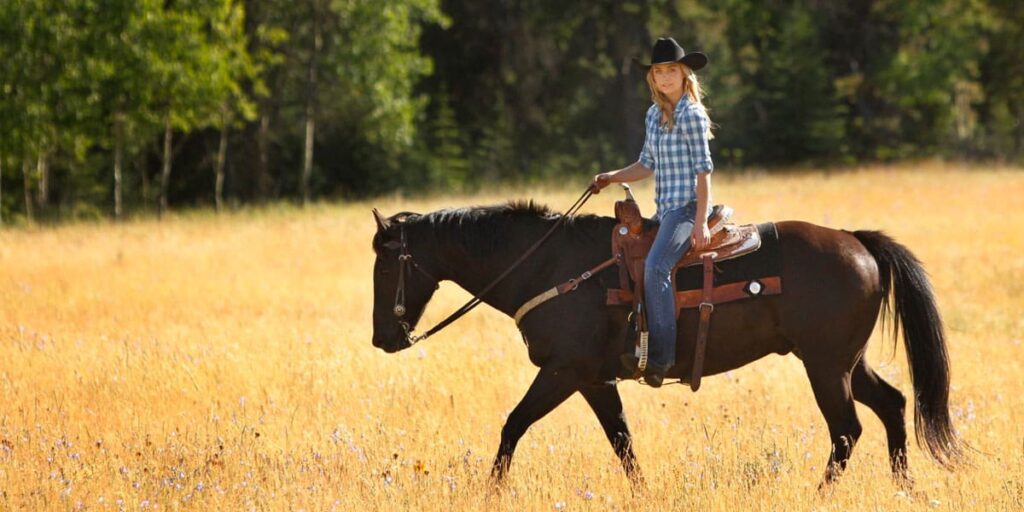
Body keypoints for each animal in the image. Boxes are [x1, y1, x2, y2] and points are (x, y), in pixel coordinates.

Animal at [372, 197, 962, 485]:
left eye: (386, 264)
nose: (383, 339)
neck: (547, 266)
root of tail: (856, 241)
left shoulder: (563, 371)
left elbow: (513, 425)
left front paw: (491, 491)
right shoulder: (594, 379)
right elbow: (622, 442)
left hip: (825, 366)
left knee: (846, 431)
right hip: (845, 362)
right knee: (892, 405)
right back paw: (904, 487)